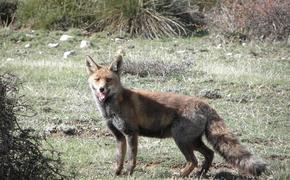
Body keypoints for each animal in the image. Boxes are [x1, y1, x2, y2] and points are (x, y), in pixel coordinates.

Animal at [85, 50, 268, 177]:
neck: (111, 108)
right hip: (192, 141)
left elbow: (131, 158)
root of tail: (205, 105)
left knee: (194, 160)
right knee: (209, 154)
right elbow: (119, 158)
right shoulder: (119, 137)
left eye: (109, 80)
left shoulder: (131, 133)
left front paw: (129, 174)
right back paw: (201, 174)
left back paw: (181, 175)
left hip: (181, 140)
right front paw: (117, 173)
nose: (101, 90)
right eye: (97, 79)